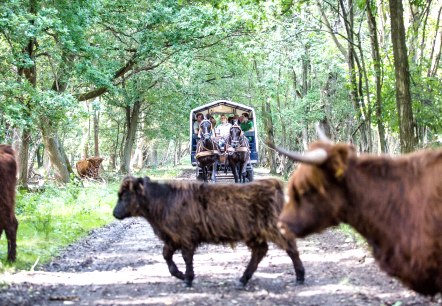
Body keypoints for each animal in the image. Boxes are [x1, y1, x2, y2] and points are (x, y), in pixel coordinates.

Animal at [113, 176, 304, 288]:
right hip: (254, 234)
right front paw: (180, 275)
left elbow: (186, 257)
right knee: (260, 251)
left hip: (274, 228)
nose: (114, 213)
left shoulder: (185, 236)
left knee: (291, 248)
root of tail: (272, 183)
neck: (163, 201)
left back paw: (300, 277)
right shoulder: (173, 237)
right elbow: (166, 255)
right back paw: (243, 279)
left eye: (125, 195)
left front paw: (188, 278)